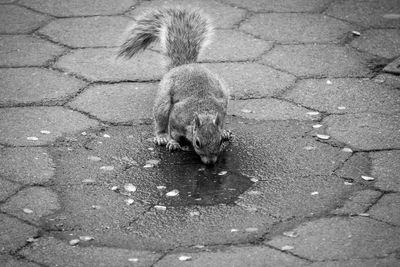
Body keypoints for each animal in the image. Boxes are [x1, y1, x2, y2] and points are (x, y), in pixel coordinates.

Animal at [118, 7, 231, 165]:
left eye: (220, 142)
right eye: (197, 142)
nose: (210, 162)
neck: (204, 112)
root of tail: (183, 65)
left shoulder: (221, 111)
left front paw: (224, 132)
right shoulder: (177, 118)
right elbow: (172, 131)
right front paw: (172, 142)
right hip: (163, 102)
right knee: (160, 121)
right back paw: (161, 136)